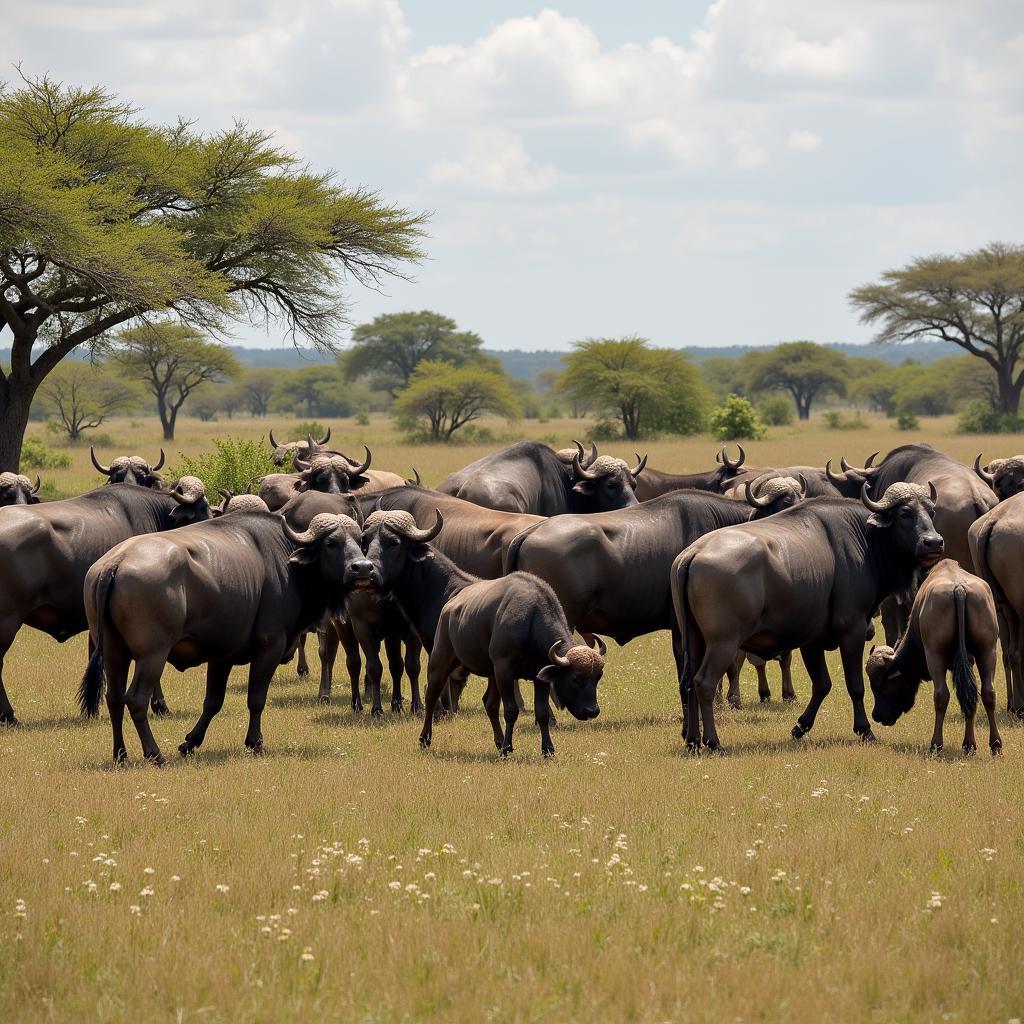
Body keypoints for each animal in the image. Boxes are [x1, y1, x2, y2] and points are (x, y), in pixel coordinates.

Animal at [81, 503, 366, 761]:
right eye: (331, 543)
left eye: (359, 540)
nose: (363, 567)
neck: (287, 564)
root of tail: (115, 562)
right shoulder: (270, 647)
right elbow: (256, 699)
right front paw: (255, 743)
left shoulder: (222, 656)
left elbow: (213, 702)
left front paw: (190, 743)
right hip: (152, 655)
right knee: (136, 699)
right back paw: (155, 754)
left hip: (114, 652)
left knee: (114, 698)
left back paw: (120, 754)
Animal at [356, 512, 602, 761]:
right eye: (365, 542)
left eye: (394, 542)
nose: (370, 573)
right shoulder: (500, 668)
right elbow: (507, 709)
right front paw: (507, 747)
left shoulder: (535, 674)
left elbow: (538, 712)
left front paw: (546, 749)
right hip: (443, 658)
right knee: (432, 694)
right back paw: (426, 738)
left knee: (488, 703)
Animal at [671, 479, 942, 753]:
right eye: (904, 513)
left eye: (931, 512)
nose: (933, 542)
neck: (864, 539)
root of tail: (692, 553)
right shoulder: (852, 631)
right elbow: (855, 686)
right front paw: (864, 729)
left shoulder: (811, 641)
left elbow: (822, 684)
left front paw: (801, 726)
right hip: (723, 643)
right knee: (704, 682)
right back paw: (713, 741)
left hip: (694, 641)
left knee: (688, 682)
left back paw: (692, 740)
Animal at [864, 557, 999, 757]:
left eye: (879, 685)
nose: (877, 716)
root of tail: (959, 589)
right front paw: (969, 745)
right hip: (988, 650)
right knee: (986, 693)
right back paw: (992, 745)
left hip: (935, 655)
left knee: (942, 695)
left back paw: (936, 744)